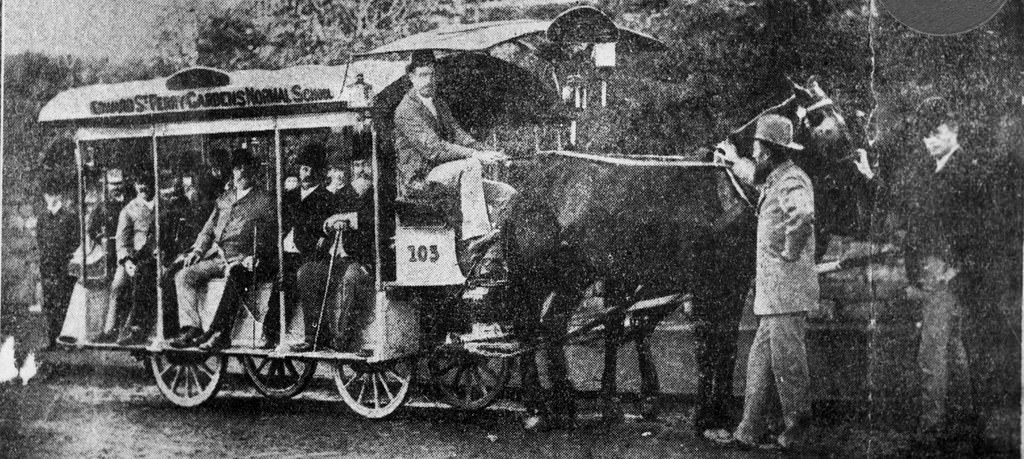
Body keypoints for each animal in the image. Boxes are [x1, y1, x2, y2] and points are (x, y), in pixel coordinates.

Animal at [499, 75, 868, 430]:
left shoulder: (732, 283)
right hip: (544, 275)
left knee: (546, 327)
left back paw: (558, 406)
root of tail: (529, 185)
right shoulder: (705, 283)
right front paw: (704, 414)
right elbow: (706, 344)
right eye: (824, 122)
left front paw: (719, 411)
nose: (865, 175)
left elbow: (726, 344)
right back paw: (544, 406)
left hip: (569, 276)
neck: (730, 187)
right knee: (533, 328)